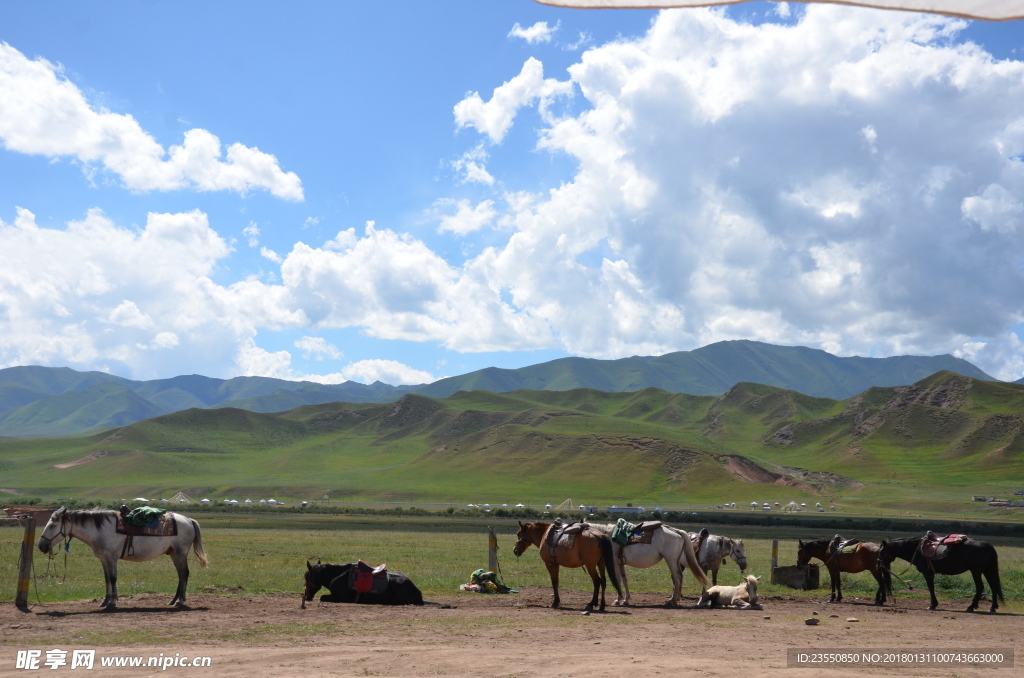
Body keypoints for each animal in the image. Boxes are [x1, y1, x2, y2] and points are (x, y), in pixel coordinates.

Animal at [37, 503, 206, 610]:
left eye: (52, 525)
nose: (41, 546)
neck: (100, 530)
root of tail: (189, 520)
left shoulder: (111, 557)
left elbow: (113, 578)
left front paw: (112, 602)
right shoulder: (104, 559)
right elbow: (107, 579)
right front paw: (105, 601)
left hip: (180, 553)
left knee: (184, 573)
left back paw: (180, 601)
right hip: (173, 554)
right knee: (180, 575)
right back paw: (173, 600)